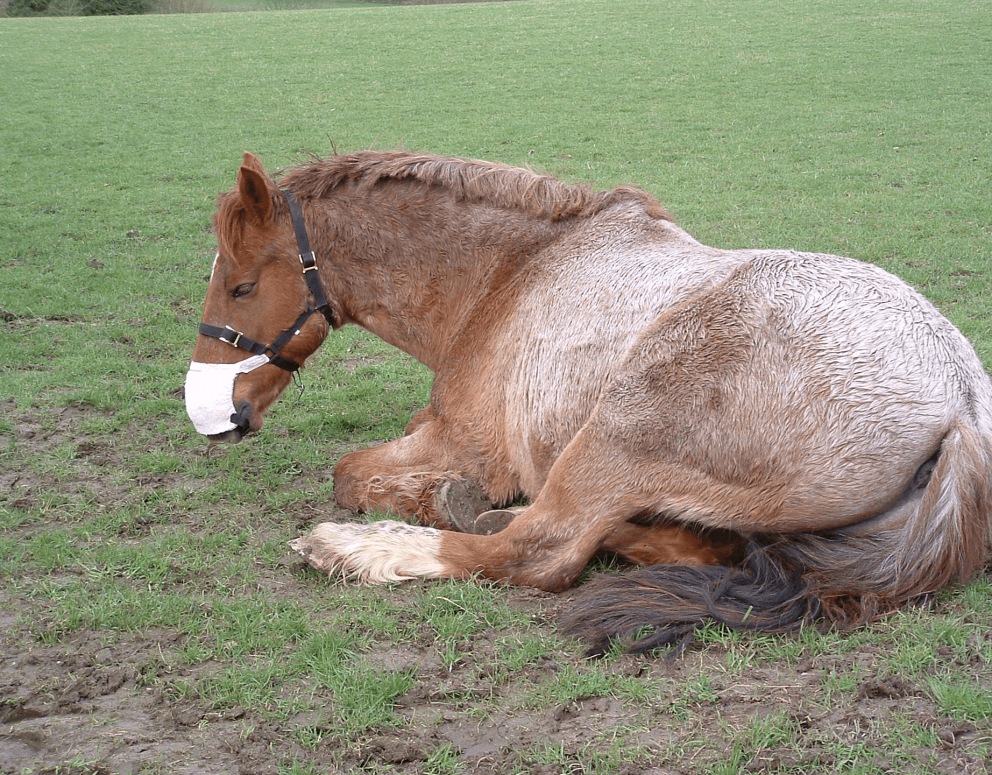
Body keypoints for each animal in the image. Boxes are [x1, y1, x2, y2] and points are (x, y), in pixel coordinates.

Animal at [186, 150, 992, 653]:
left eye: (243, 286)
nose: (207, 411)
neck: (510, 275)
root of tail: (959, 405)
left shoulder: (464, 438)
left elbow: (350, 473)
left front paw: (427, 502)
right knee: (699, 543)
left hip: (620, 428)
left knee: (538, 552)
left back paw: (366, 547)